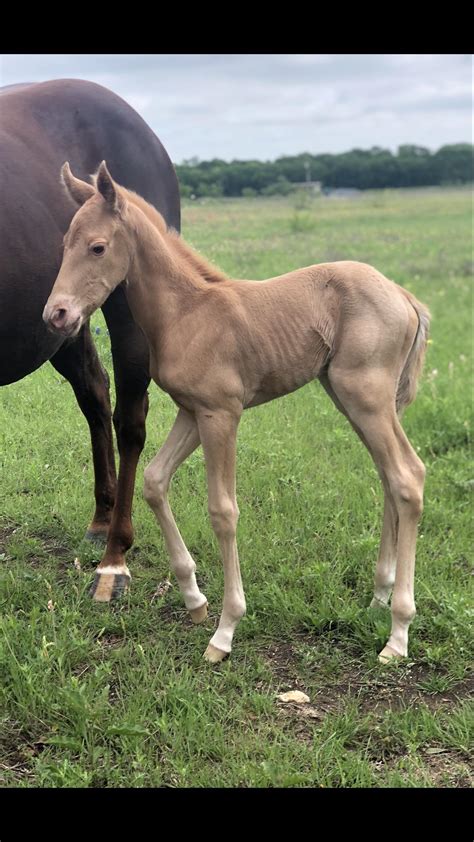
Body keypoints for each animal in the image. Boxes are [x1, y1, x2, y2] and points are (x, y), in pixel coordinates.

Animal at [43, 161, 430, 664]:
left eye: (97, 247)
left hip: (366, 395)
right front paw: (194, 600)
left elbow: (223, 511)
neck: (187, 312)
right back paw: (378, 597)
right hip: (353, 397)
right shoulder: (191, 412)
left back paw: (398, 632)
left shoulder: (221, 414)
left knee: (407, 476)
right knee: (388, 477)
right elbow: (154, 481)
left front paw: (225, 630)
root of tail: (404, 295)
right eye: (64, 244)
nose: (56, 315)